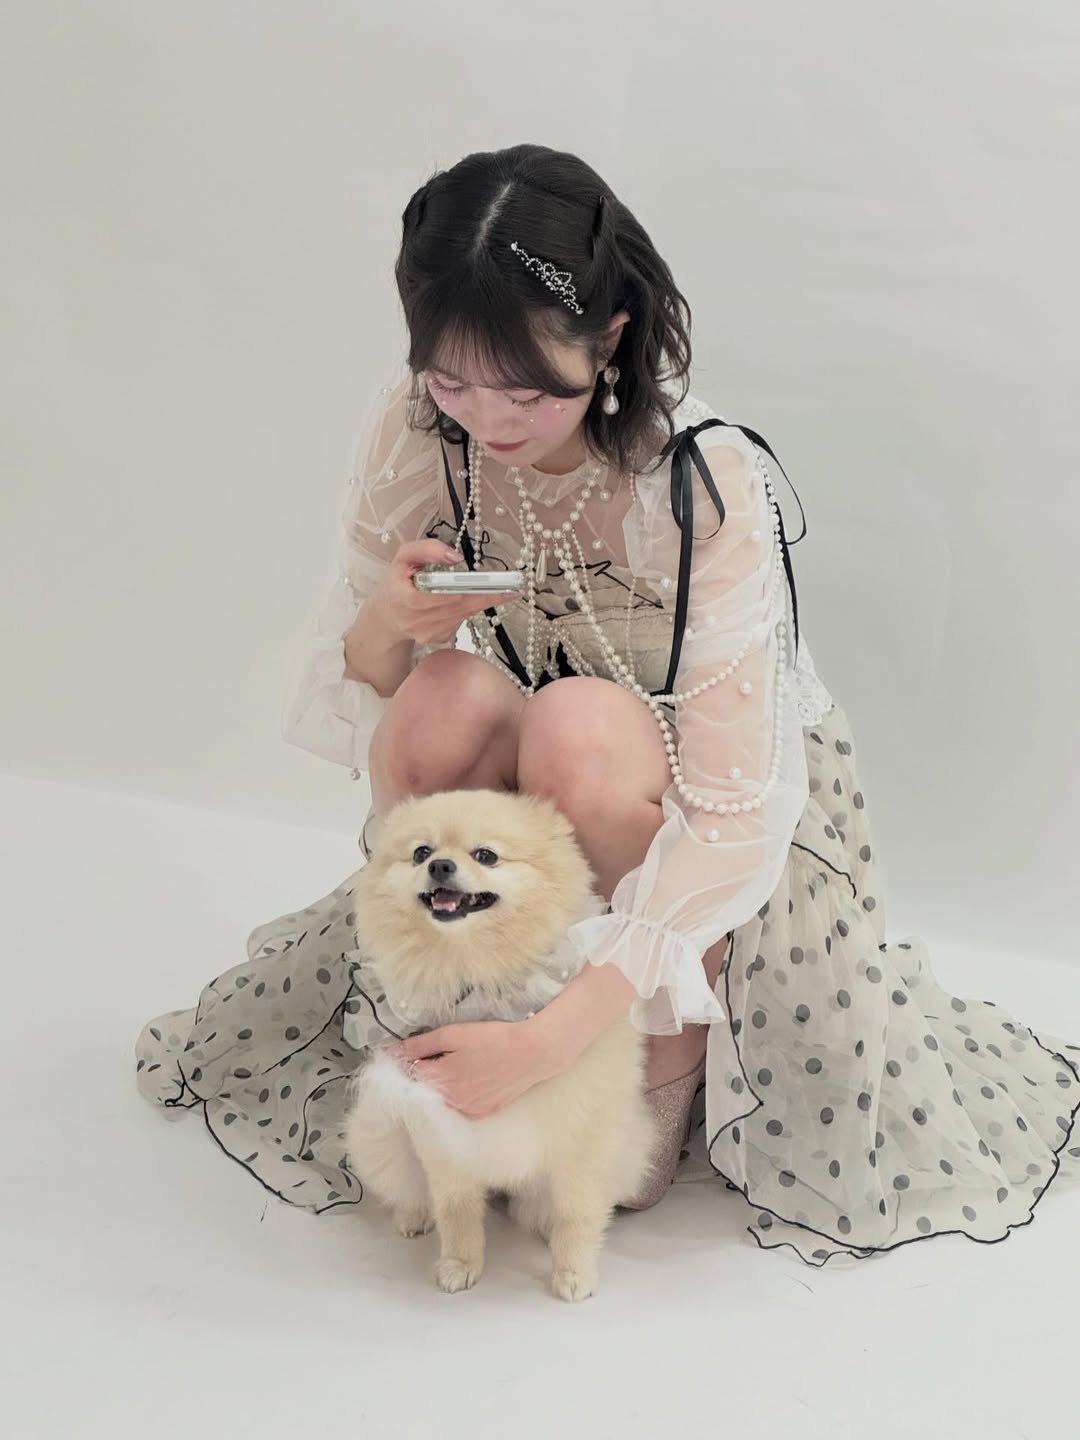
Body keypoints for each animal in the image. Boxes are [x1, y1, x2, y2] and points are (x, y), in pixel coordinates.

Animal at [343, 787, 656, 1302]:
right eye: (421, 852)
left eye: (486, 855)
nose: (441, 866)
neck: (478, 974)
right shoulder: (435, 1122)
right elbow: (456, 1206)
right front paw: (460, 1263)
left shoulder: (584, 1130)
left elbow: (578, 1212)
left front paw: (574, 1272)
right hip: (379, 1131)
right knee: (409, 1188)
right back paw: (413, 1216)